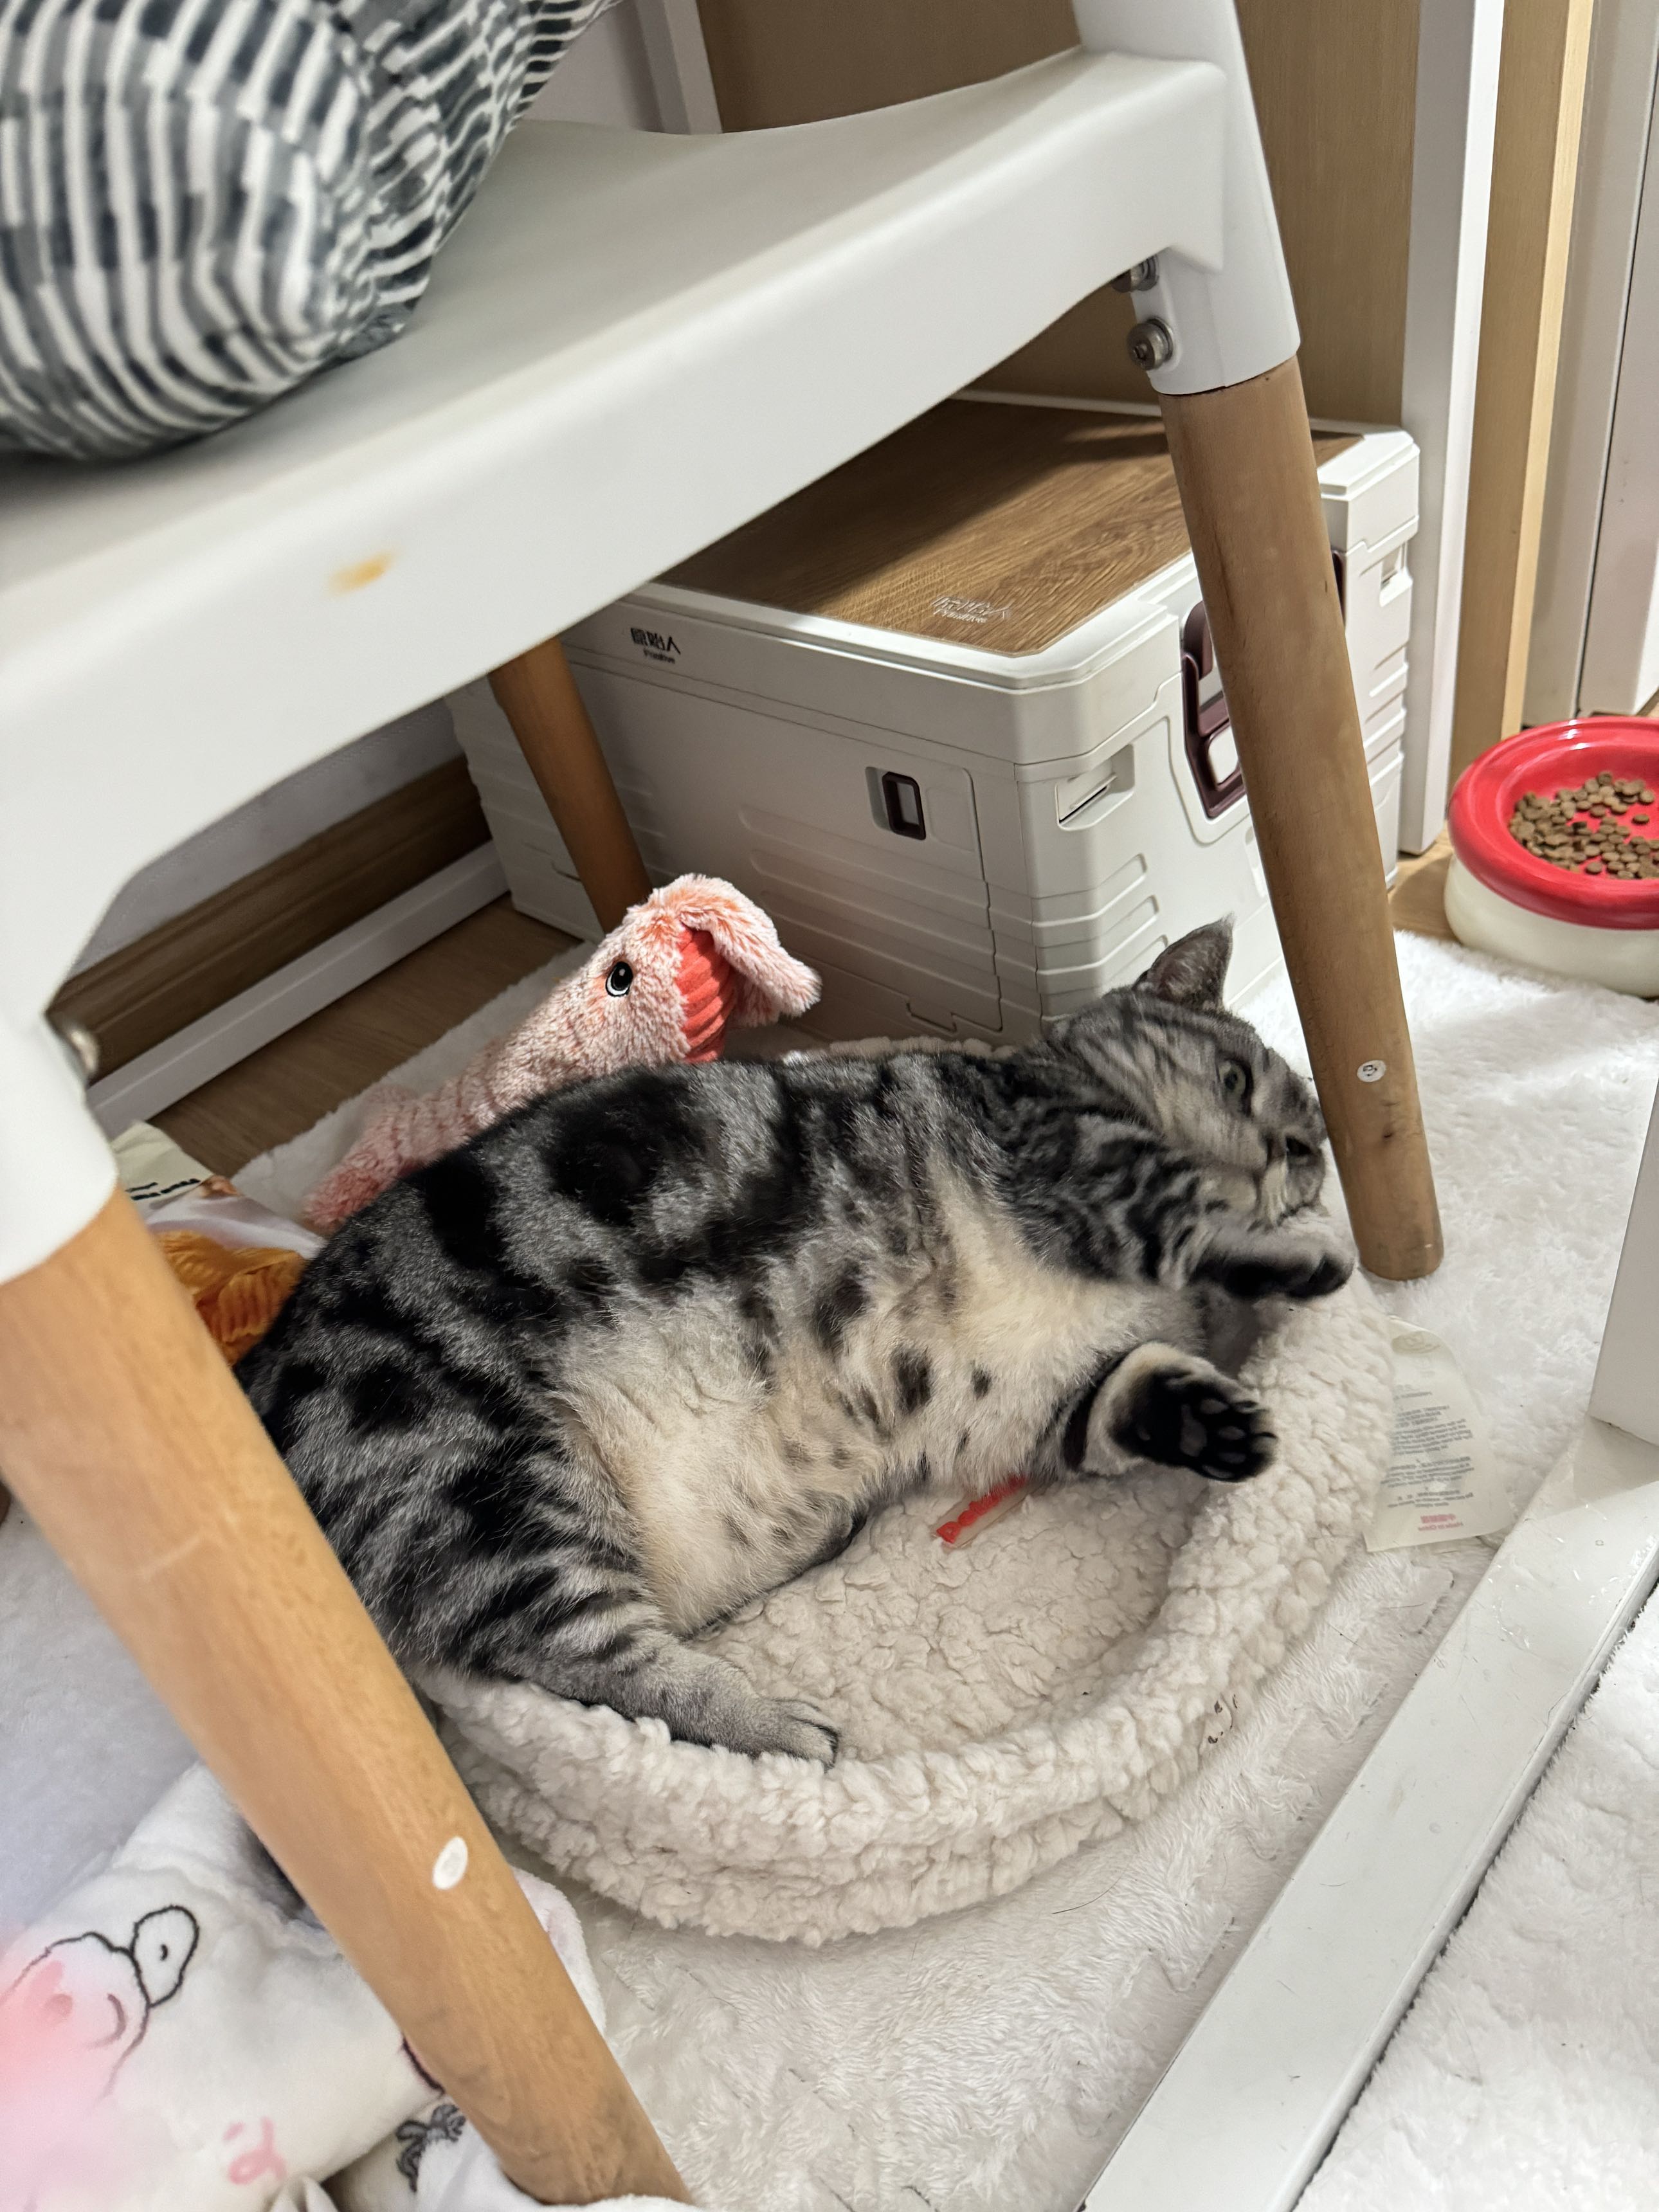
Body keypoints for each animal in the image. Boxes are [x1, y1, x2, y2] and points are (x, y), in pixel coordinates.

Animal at [238, 919, 1353, 1765]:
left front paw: (1213, 1422)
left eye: (1306, 1145)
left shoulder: (1040, 1404)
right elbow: (1191, 1218)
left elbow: (1130, 1391)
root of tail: (255, 1374)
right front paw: (1301, 1252)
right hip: (494, 1490)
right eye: (1234, 1079)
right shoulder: (1082, 1167)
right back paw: (778, 1726)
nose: (1291, 1154)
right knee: (599, 1670)